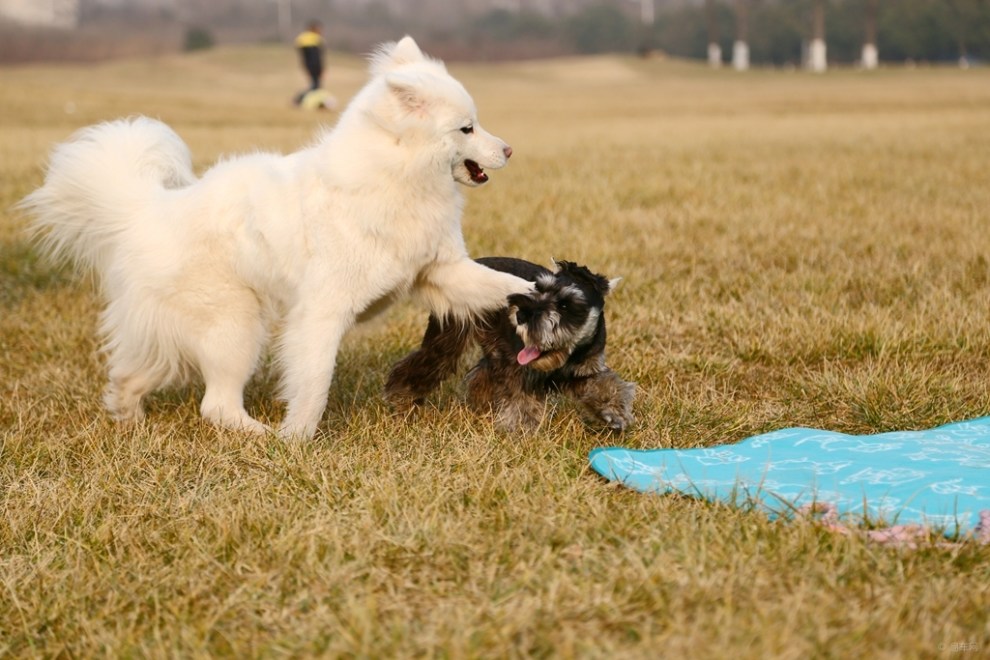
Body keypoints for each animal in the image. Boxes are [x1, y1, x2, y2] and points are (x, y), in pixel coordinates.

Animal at [19, 36, 532, 438]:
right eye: (466, 128)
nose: (510, 150)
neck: (396, 177)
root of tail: (148, 211)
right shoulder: (322, 312)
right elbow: (314, 381)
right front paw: (298, 439)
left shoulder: (440, 272)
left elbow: (502, 284)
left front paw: (542, 294)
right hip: (236, 326)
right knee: (215, 405)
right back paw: (262, 436)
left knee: (130, 376)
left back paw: (130, 420)